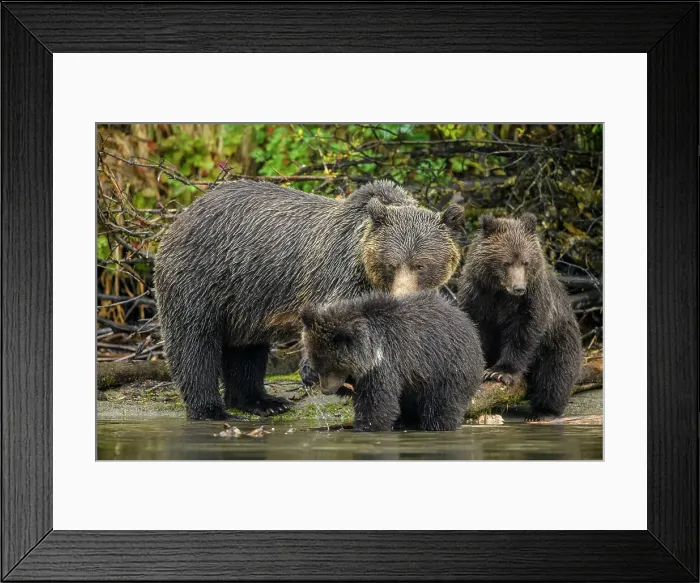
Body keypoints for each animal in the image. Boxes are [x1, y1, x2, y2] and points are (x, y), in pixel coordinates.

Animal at [154, 179, 464, 420]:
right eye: (392, 263)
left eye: (421, 265)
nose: (403, 295)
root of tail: (181, 216)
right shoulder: (339, 276)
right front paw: (320, 372)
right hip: (201, 276)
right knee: (194, 342)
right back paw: (211, 409)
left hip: (246, 301)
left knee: (246, 350)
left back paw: (263, 402)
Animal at [300, 291, 485, 431]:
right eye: (319, 365)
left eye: (333, 367)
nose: (326, 390)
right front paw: (307, 373)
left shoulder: (386, 363)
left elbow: (377, 401)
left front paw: (366, 426)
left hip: (448, 367)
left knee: (442, 404)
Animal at [457, 213, 582, 419]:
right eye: (506, 263)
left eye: (525, 262)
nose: (518, 288)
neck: (501, 293)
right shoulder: (478, 296)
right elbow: (476, 328)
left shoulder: (533, 299)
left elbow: (524, 331)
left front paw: (500, 372)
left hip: (559, 338)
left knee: (556, 372)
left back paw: (544, 411)